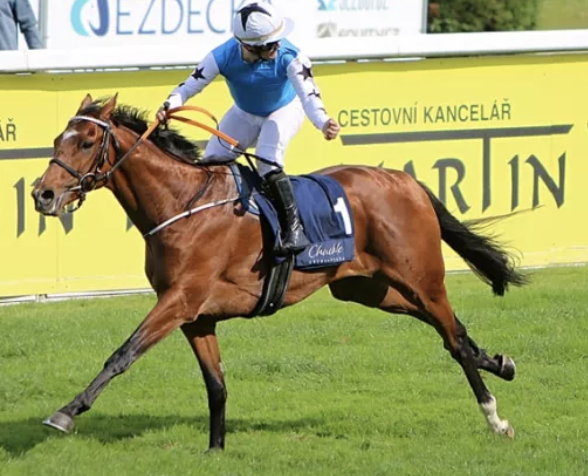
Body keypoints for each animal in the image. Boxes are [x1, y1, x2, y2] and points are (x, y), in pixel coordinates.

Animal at [32, 96, 524, 450]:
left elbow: (122, 353)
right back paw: (501, 362)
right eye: (57, 139)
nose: (43, 194)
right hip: (369, 289)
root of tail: (405, 181)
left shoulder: (179, 300)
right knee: (453, 331)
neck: (183, 204)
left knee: (453, 339)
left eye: (86, 142)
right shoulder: (196, 317)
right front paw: (215, 449)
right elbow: (216, 385)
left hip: (422, 279)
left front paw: (66, 413)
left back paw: (495, 417)